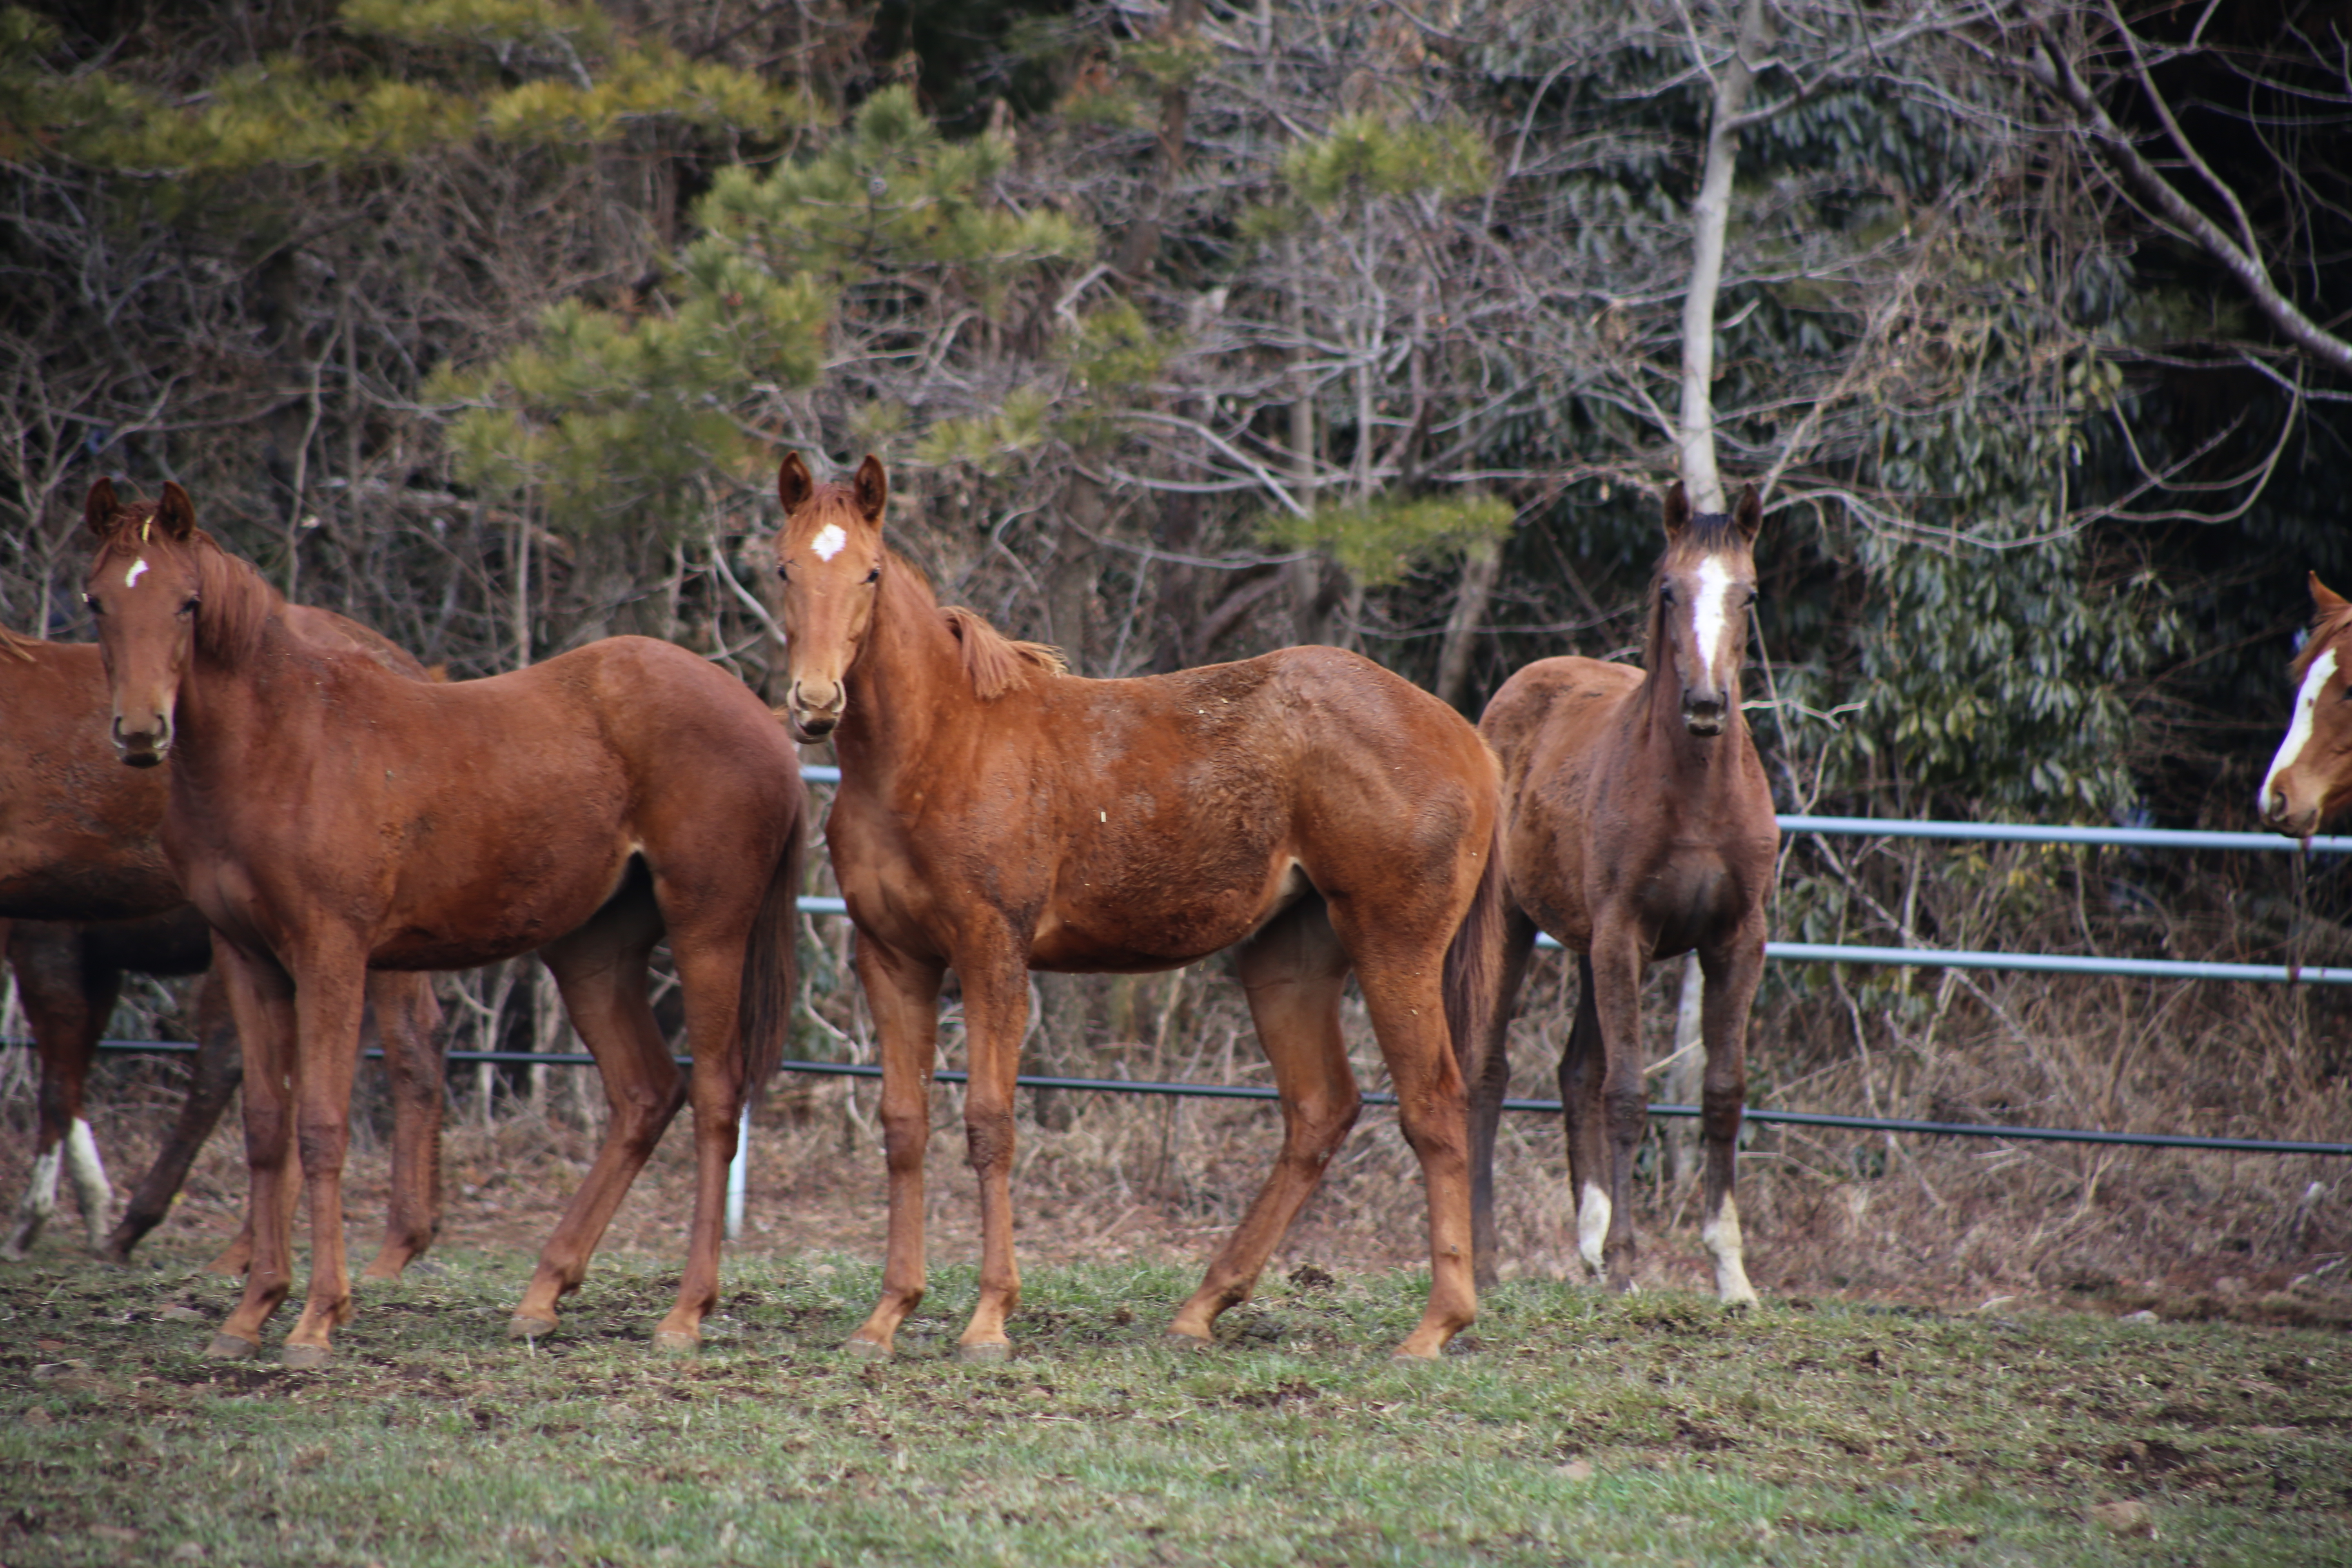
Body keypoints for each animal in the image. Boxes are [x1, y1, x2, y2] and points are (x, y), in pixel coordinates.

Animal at [2, 601, 444, 1278]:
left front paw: (42, 1221)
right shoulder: (94, 958)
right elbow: (71, 1071)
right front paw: (88, 1212)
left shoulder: (46, 936)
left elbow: (59, 1081)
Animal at [85, 484, 809, 1363]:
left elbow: (321, 1128)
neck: (284, 746)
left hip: (708, 934)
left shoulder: (332, 954)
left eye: (188, 603)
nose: (141, 732)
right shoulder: (248, 958)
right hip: (592, 951)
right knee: (645, 1092)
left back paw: (685, 1312)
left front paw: (317, 1318)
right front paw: (251, 1312)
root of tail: (762, 718)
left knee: (714, 1099)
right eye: (97, 601)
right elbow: (265, 1127)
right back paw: (543, 1294)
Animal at [771, 454, 1505, 1363]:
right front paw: (886, 1317)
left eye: (869, 572)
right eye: (784, 569)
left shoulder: (991, 951)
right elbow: (904, 1126)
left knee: (1433, 1106)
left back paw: (1435, 1325)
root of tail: (1470, 741)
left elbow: (989, 1123)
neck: (937, 748)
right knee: (1320, 1111)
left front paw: (988, 1320)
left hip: (1395, 947)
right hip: (1288, 961)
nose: (815, 703)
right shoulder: (892, 957)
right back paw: (1203, 1307)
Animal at [1439, 484, 1768, 1307]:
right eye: (1669, 590)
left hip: (1592, 947)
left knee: (1574, 1072)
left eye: (1748, 593)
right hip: (1520, 929)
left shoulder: (1738, 940)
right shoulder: (1626, 935)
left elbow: (1723, 1093)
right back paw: (1488, 1262)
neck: (1697, 795)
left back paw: (1585, 1245)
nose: (1706, 705)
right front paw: (1626, 1263)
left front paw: (1731, 1274)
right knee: (1488, 1072)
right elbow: (1626, 1096)